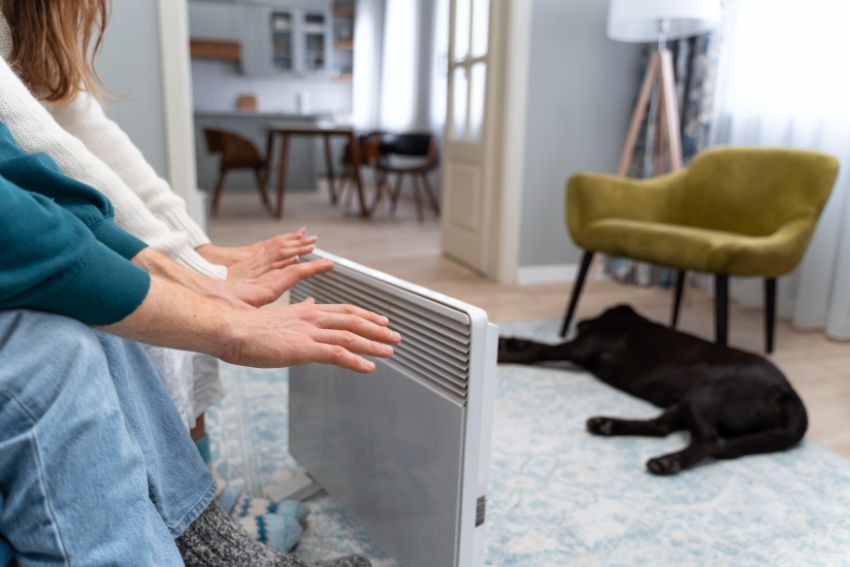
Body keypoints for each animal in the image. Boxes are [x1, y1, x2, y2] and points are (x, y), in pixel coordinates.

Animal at [500, 306, 804, 474]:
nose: (581, 321)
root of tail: (788, 392)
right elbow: (531, 343)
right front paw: (508, 340)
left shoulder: (583, 346)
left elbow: (538, 349)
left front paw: (504, 352)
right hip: (689, 397)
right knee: (661, 427)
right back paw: (606, 425)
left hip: (707, 392)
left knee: (709, 441)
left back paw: (668, 463)